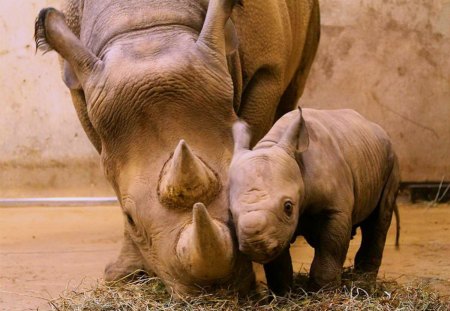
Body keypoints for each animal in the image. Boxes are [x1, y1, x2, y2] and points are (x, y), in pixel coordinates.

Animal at [34, 0, 320, 298]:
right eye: (131, 218)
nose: (212, 290)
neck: (147, 26)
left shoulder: (267, 72)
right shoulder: (80, 86)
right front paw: (126, 275)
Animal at [230, 108, 400, 296]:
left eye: (288, 207)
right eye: (231, 213)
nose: (254, 244)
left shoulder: (334, 210)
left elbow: (330, 249)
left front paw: (323, 293)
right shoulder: (277, 229)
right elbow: (278, 261)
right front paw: (282, 295)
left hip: (391, 159)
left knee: (379, 220)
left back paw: (364, 286)